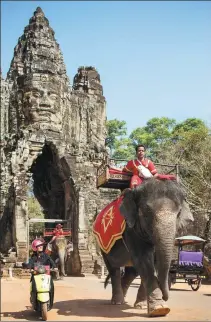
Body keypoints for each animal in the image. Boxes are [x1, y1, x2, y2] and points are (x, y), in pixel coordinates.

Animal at [99, 179, 194, 316]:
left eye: (179, 213)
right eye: (147, 212)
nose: (166, 296)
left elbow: (153, 262)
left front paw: (142, 306)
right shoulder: (131, 230)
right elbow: (144, 260)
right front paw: (160, 309)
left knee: (131, 272)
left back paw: (124, 299)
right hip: (103, 247)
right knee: (114, 269)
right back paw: (117, 302)